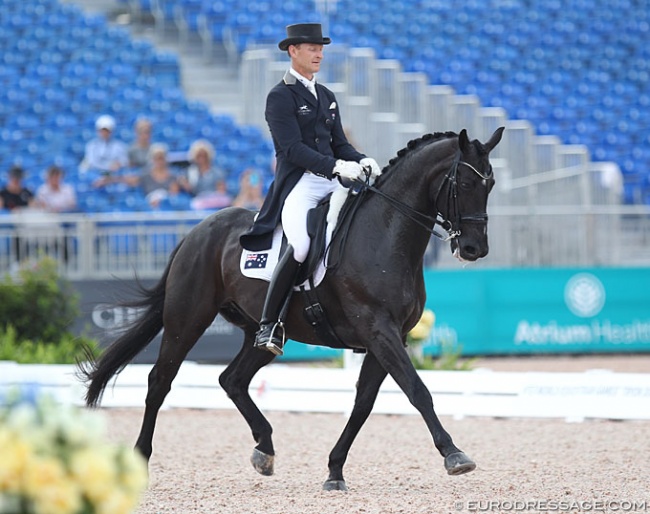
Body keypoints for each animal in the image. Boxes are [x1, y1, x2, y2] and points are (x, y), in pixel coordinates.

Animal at [79, 127, 502, 488]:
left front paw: (334, 470)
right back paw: (140, 461)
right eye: (465, 183)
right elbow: (417, 390)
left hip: (260, 332)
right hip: (188, 318)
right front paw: (454, 454)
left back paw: (264, 449)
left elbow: (363, 404)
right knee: (159, 382)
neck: (385, 233)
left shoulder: (389, 335)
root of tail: (196, 232)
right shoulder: (378, 330)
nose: (474, 249)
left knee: (232, 379)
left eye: (491, 183)